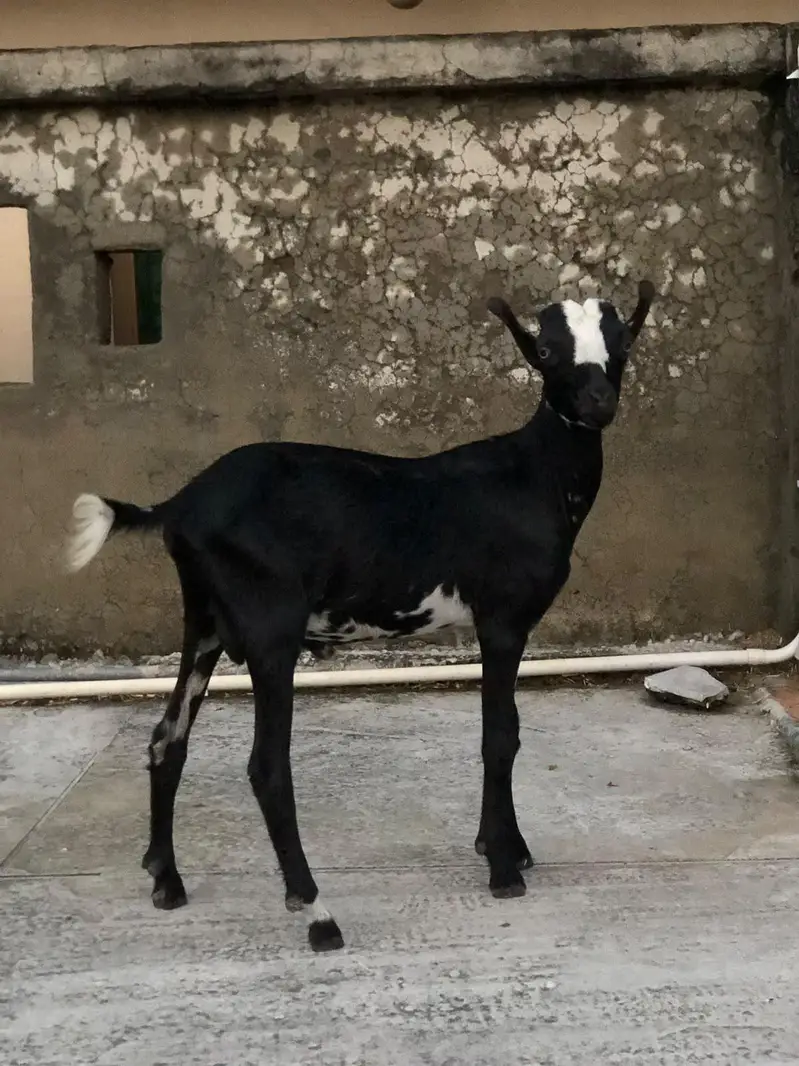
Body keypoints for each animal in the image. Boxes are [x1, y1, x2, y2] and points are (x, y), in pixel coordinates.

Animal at [66, 279, 655, 952]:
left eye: (621, 342)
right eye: (549, 350)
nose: (598, 401)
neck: (534, 475)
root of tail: (180, 504)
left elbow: (504, 729)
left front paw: (504, 845)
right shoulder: (503, 621)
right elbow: (500, 736)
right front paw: (505, 868)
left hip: (206, 622)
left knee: (168, 739)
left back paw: (166, 879)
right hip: (269, 628)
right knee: (267, 767)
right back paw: (317, 912)